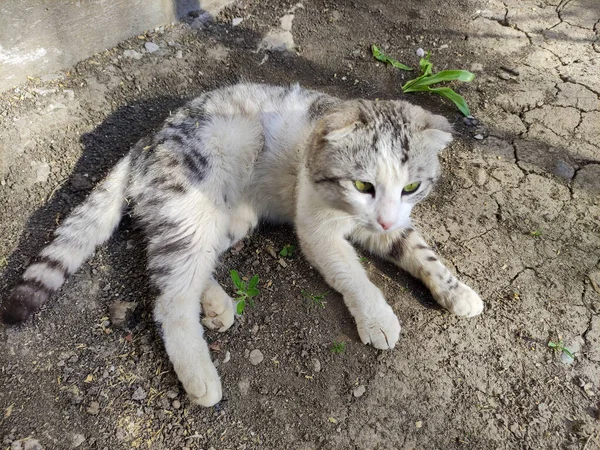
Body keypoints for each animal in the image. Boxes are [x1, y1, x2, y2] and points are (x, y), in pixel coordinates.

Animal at [1, 82, 482, 406]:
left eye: (411, 187)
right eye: (363, 184)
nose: (382, 216)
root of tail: (148, 139)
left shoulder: (395, 223)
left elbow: (422, 253)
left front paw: (455, 290)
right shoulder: (318, 230)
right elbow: (353, 274)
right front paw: (378, 317)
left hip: (228, 217)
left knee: (185, 265)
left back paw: (214, 302)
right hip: (192, 205)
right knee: (170, 297)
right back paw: (199, 375)